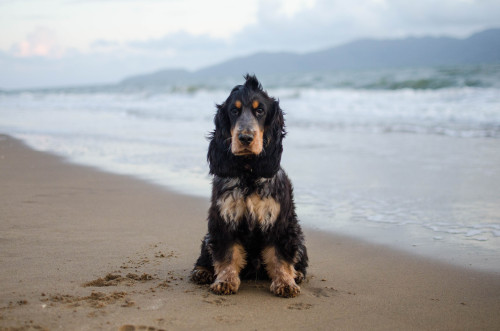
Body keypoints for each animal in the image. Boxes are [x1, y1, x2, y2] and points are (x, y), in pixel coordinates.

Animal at [191, 75, 308, 298]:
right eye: (234, 111)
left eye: (260, 110)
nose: (245, 138)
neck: (249, 174)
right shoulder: (224, 220)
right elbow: (227, 254)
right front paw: (225, 281)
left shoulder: (280, 223)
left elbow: (280, 257)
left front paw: (285, 282)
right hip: (208, 237)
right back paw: (201, 271)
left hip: (298, 236)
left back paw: (297, 274)